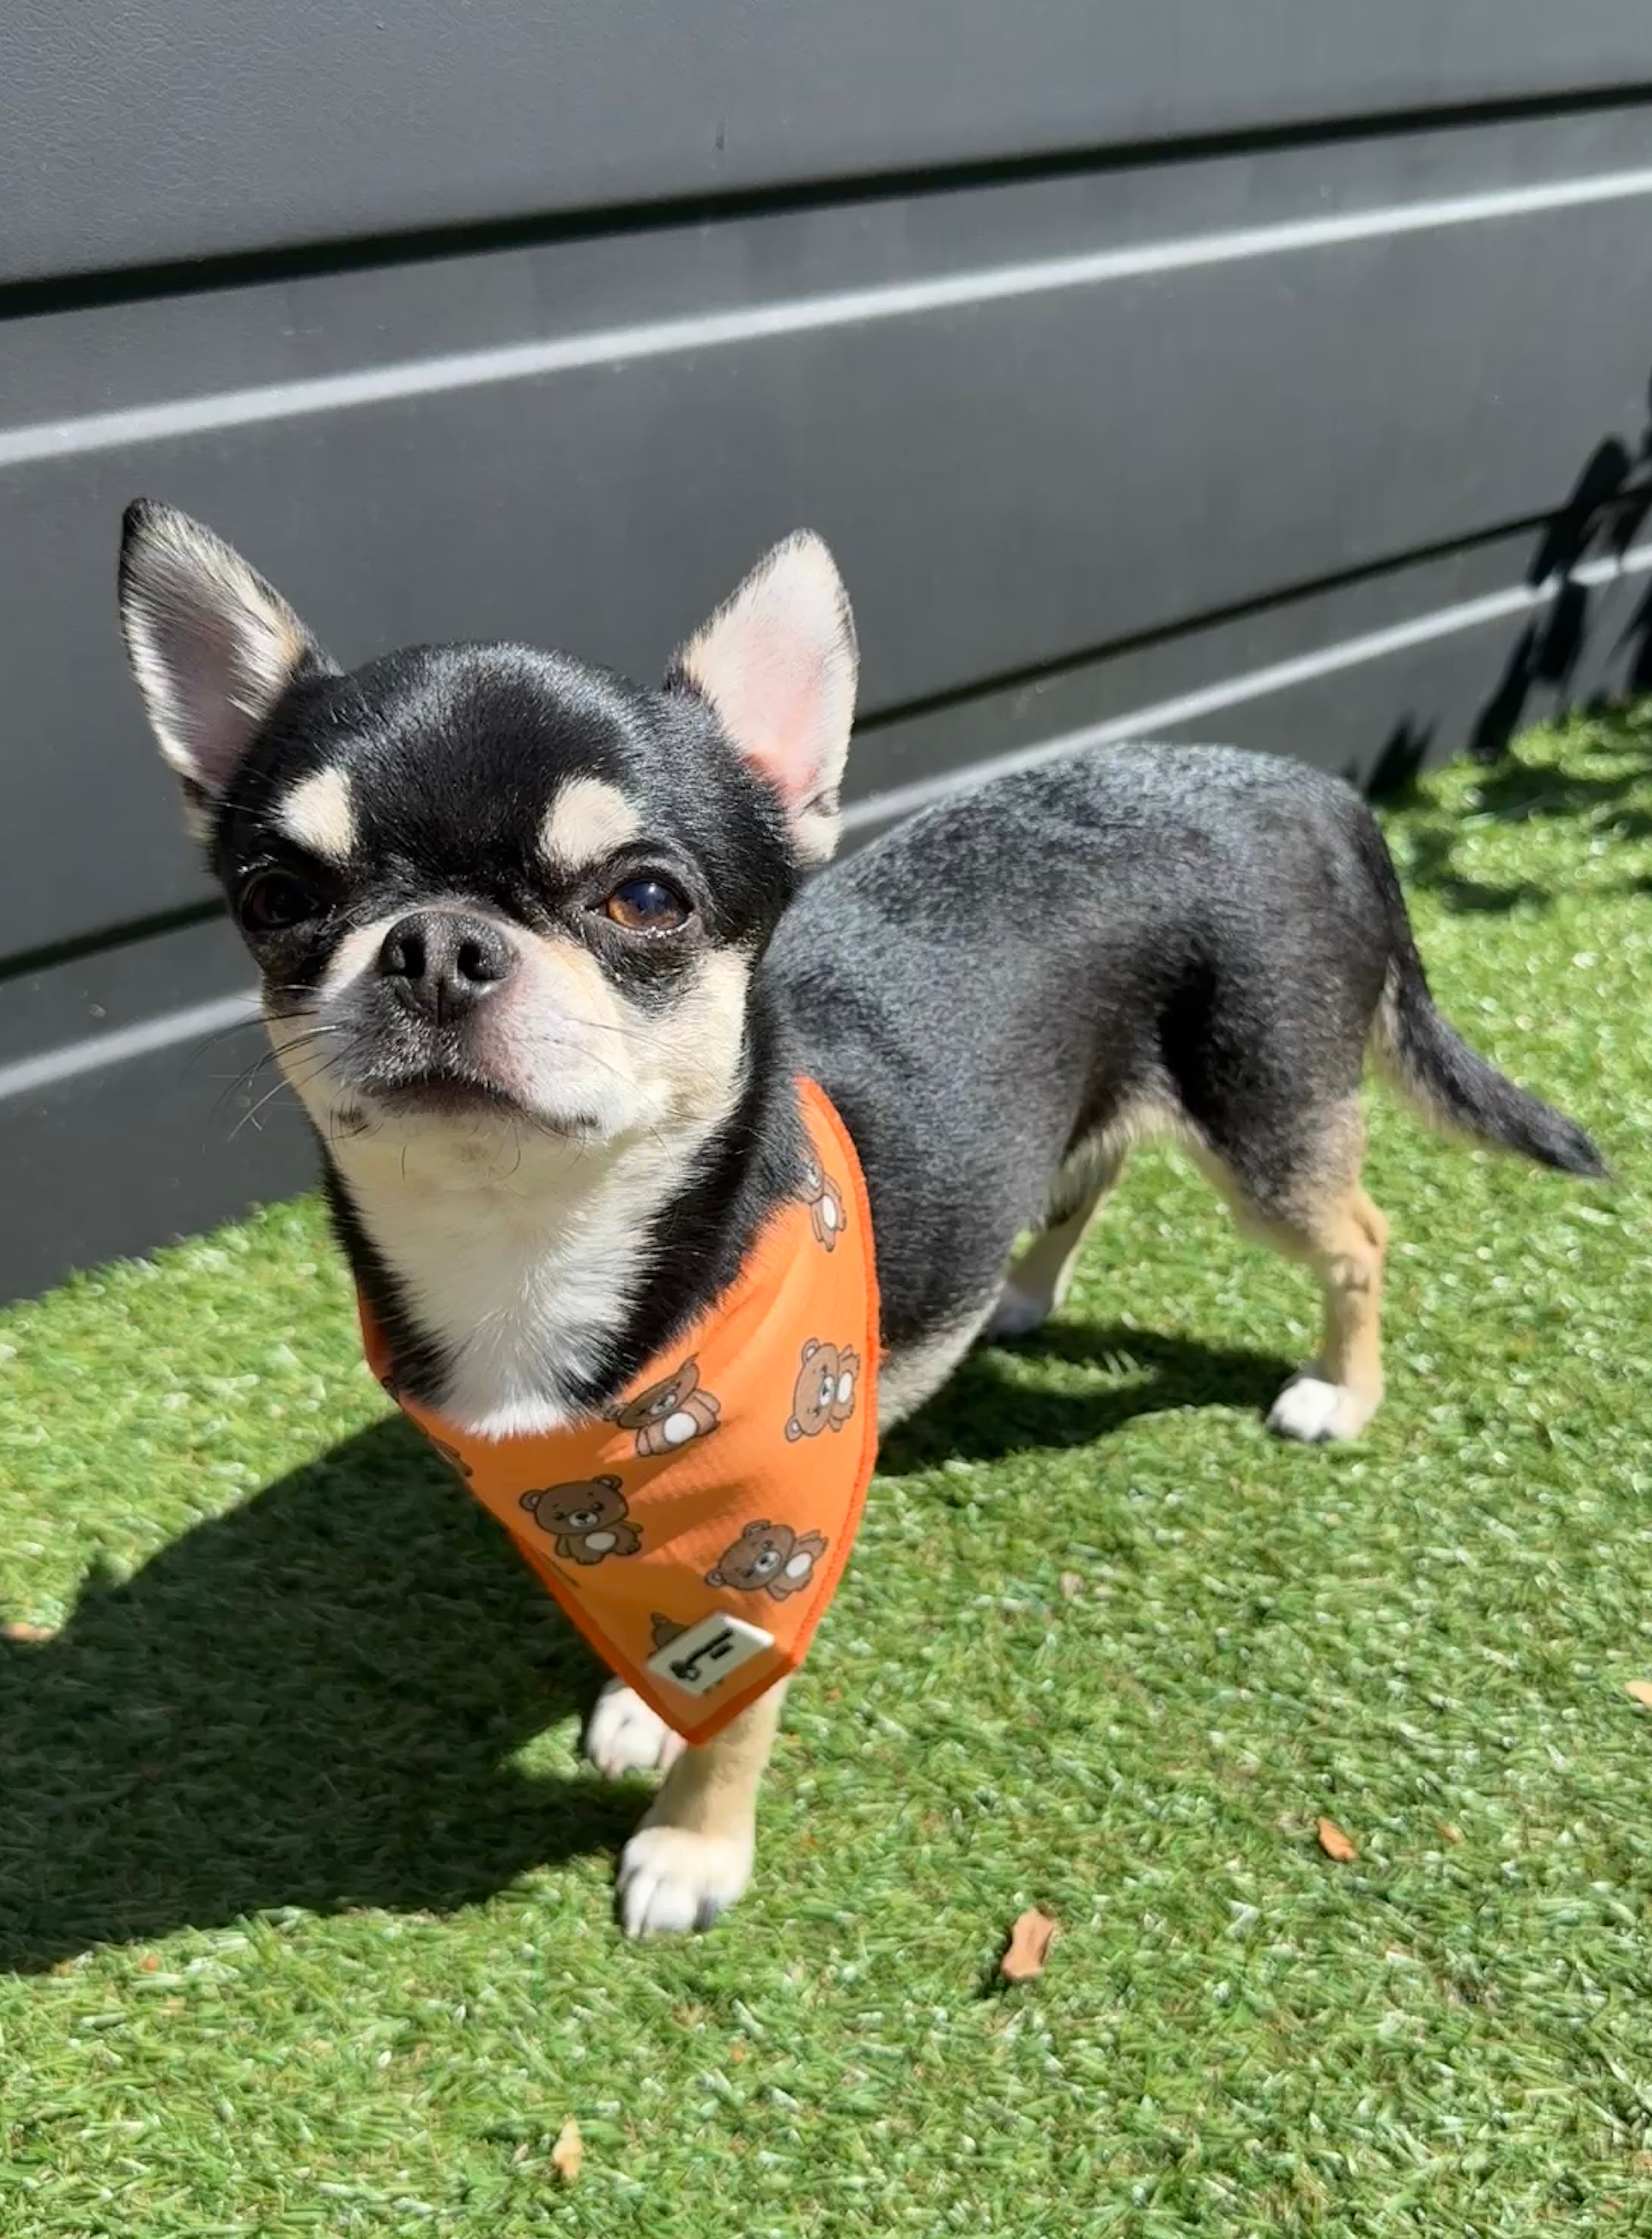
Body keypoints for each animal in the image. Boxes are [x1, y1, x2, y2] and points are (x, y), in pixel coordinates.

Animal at [519, 1476, 640, 1565]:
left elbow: (626, 1536)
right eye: (558, 1516)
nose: (582, 1516)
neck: (593, 1531)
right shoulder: (574, 1542)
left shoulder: (618, 1528)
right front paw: (589, 1559)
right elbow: (581, 1549)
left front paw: (629, 1548)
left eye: (599, 1506)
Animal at [705, 1520, 829, 1601]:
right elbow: (780, 1593)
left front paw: (819, 1544)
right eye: (747, 1573)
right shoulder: (776, 1587)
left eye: (767, 1544)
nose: (764, 1560)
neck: (783, 1568)